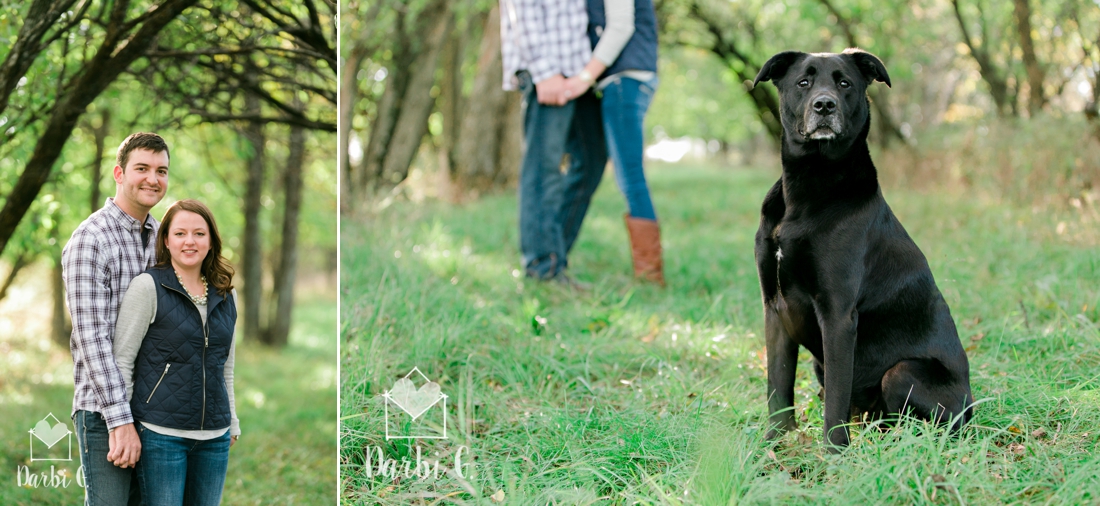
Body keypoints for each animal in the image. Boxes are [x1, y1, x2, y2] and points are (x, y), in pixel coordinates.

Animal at [752, 49, 976, 448]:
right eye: (803, 82)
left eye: (844, 83)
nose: (824, 105)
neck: (809, 187)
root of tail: (972, 408)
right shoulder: (775, 309)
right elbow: (778, 386)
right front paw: (773, 445)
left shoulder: (838, 315)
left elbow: (836, 400)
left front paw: (834, 453)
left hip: (903, 373)